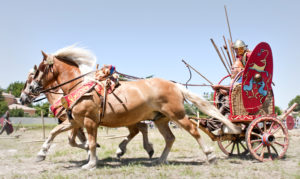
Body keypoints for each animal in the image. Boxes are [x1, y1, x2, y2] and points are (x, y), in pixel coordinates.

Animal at [20, 65, 155, 161]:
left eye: (31, 77)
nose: (22, 98)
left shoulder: (76, 121)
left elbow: (74, 139)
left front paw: (91, 151)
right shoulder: (73, 121)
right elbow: (73, 138)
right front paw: (90, 151)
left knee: (139, 129)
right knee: (140, 128)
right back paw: (140, 149)